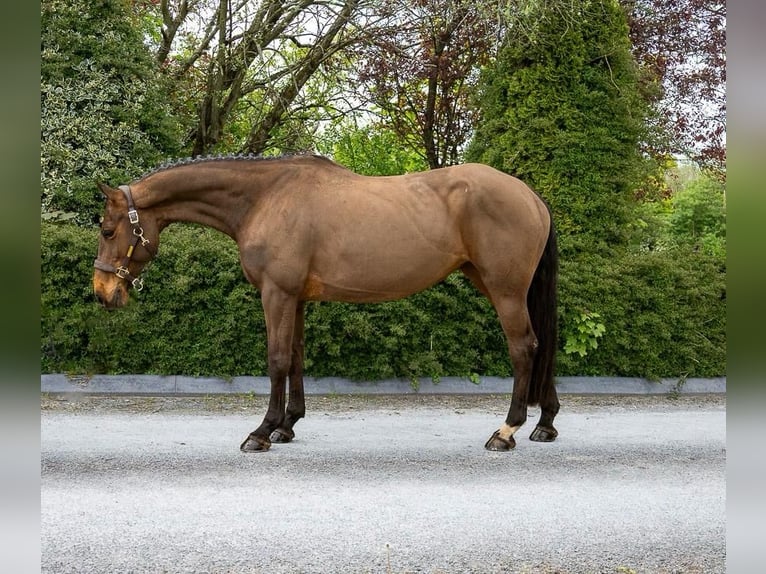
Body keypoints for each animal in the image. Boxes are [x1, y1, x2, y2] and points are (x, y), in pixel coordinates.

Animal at [93, 153, 560, 452]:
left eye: (108, 230)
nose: (102, 292)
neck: (265, 198)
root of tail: (532, 197)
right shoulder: (295, 298)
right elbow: (296, 358)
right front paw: (286, 426)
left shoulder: (276, 293)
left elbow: (277, 358)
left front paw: (261, 432)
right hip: (498, 285)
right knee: (542, 344)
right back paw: (545, 424)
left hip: (504, 290)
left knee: (524, 347)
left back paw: (506, 431)